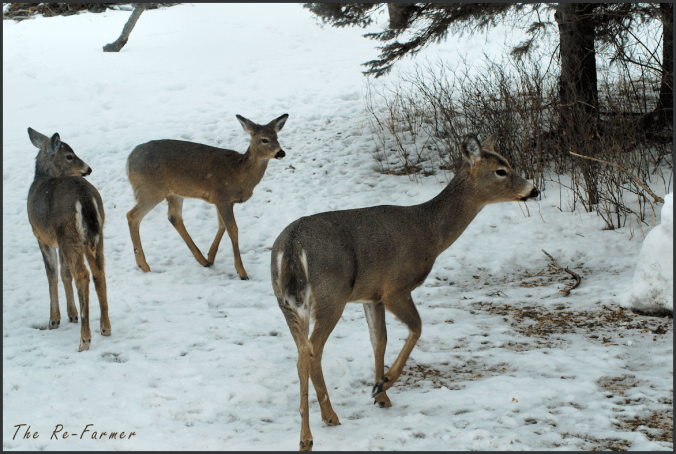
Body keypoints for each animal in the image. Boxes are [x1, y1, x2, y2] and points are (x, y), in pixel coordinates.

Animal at [27, 128, 111, 352]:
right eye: (69, 156)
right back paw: (105, 327)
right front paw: (71, 314)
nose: (88, 169)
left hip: (69, 234)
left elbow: (52, 274)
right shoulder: (57, 240)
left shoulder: (42, 236)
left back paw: (84, 339)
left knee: (82, 274)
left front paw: (54, 319)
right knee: (99, 271)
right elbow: (65, 273)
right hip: (93, 235)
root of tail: (85, 197)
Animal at [126, 114, 288, 279]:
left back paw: (203, 260)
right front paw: (242, 272)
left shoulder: (220, 200)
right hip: (151, 189)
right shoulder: (222, 197)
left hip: (174, 192)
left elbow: (222, 226)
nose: (281, 152)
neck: (239, 174)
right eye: (264, 139)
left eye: (276, 136)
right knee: (132, 215)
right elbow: (233, 230)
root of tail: (128, 160)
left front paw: (211, 256)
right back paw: (144, 265)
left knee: (174, 217)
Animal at [271, 134, 540, 450]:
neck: (429, 233)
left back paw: (321, 421)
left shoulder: (370, 294)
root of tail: (292, 245)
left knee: (303, 353)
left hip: (288, 302)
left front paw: (382, 396)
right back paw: (313, 431)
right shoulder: (395, 287)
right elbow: (417, 327)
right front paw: (382, 384)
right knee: (313, 351)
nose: (533, 190)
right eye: (501, 170)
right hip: (331, 295)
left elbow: (379, 341)